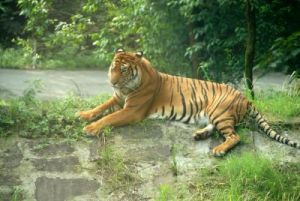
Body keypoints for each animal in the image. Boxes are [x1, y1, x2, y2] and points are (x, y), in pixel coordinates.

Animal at [77, 48, 300, 156]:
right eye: (113, 68)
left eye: (123, 70)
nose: (112, 81)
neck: (127, 87)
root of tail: (244, 97)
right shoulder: (117, 99)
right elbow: (101, 108)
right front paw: (82, 114)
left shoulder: (131, 110)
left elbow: (109, 118)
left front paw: (90, 128)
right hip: (215, 115)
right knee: (219, 129)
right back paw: (199, 135)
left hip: (219, 111)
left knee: (235, 136)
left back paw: (218, 150)